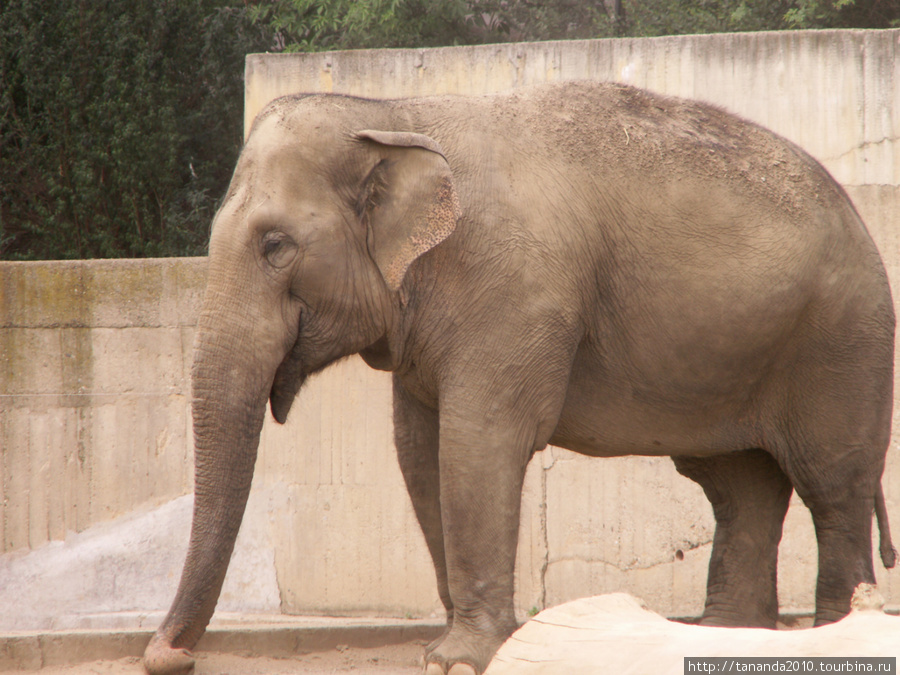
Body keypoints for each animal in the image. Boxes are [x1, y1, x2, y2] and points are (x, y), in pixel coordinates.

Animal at [144, 83, 896, 675]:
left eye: (275, 246)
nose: (168, 656)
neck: (396, 114)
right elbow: (420, 451)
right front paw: (449, 648)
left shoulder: (513, 293)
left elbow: (478, 441)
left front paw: (459, 659)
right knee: (739, 486)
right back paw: (719, 635)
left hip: (841, 344)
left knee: (831, 488)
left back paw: (836, 627)